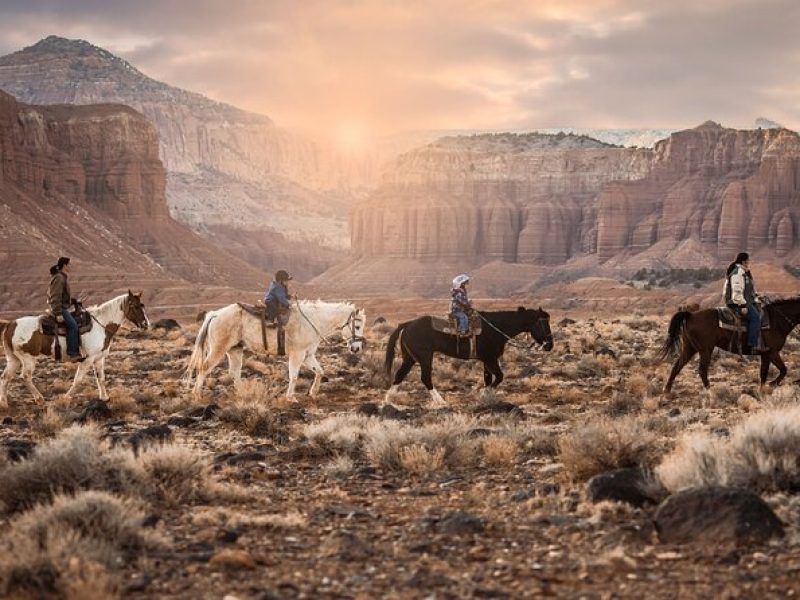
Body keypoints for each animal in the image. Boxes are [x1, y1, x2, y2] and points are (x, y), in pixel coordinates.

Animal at [0, 292, 150, 408]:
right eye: (135, 306)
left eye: (142, 305)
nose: (146, 324)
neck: (101, 325)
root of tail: (11, 324)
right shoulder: (88, 359)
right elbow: (78, 380)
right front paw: (66, 397)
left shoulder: (99, 358)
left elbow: (100, 378)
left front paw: (104, 398)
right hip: (28, 358)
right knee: (25, 376)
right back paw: (40, 399)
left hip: (14, 359)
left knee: (5, 377)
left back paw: (4, 403)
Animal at [183, 298, 364, 400]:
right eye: (358, 326)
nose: (356, 348)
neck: (312, 321)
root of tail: (214, 314)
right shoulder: (297, 355)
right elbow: (294, 376)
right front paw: (290, 398)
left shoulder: (308, 355)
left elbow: (320, 371)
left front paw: (313, 392)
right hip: (218, 350)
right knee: (204, 368)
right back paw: (197, 394)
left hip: (235, 350)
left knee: (234, 373)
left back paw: (244, 394)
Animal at [660, 298, 800, 392]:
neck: (777, 320)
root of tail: (690, 315)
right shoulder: (772, 352)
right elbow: (783, 370)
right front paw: (772, 384)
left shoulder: (766, 354)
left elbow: (764, 373)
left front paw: (763, 389)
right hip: (705, 349)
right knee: (702, 370)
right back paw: (710, 390)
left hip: (690, 348)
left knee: (677, 366)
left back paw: (667, 390)